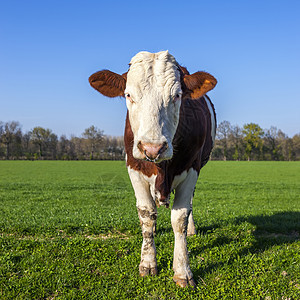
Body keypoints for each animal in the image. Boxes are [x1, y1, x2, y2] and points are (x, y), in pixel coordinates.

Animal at [88, 50, 217, 288]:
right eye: (128, 95)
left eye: (177, 95)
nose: (153, 147)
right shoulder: (133, 167)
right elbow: (147, 214)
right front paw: (147, 263)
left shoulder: (192, 169)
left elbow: (180, 218)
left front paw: (182, 270)